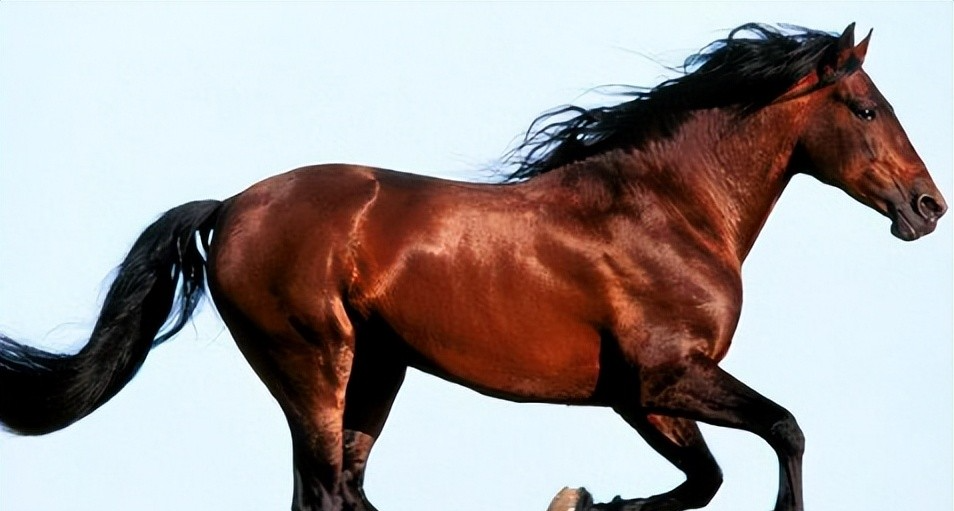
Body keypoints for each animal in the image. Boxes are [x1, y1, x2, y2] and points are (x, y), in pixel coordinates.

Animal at [0, 22, 946, 511]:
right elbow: (783, 430)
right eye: (867, 108)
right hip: (314, 364)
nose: (928, 205)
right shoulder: (664, 376)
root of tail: (229, 206)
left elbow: (706, 478)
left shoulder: (636, 397)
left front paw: (594, 502)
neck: (667, 208)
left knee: (344, 487)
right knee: (326, 491)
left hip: (376, 370)